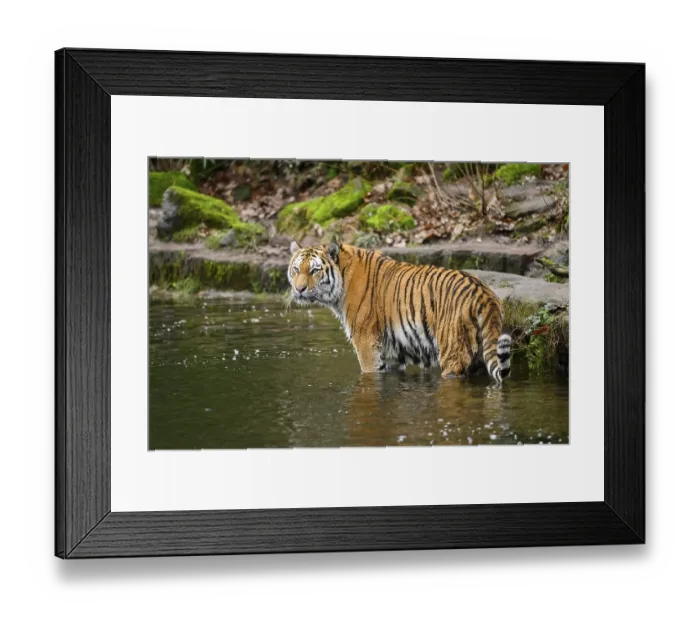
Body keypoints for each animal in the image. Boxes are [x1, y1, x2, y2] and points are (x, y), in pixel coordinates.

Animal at [287, 241, 512, 384]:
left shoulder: (365, 341)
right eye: (296, 269)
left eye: (315, 270)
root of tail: (485, 293)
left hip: (453, 352)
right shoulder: (391, 352)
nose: (299, 289)